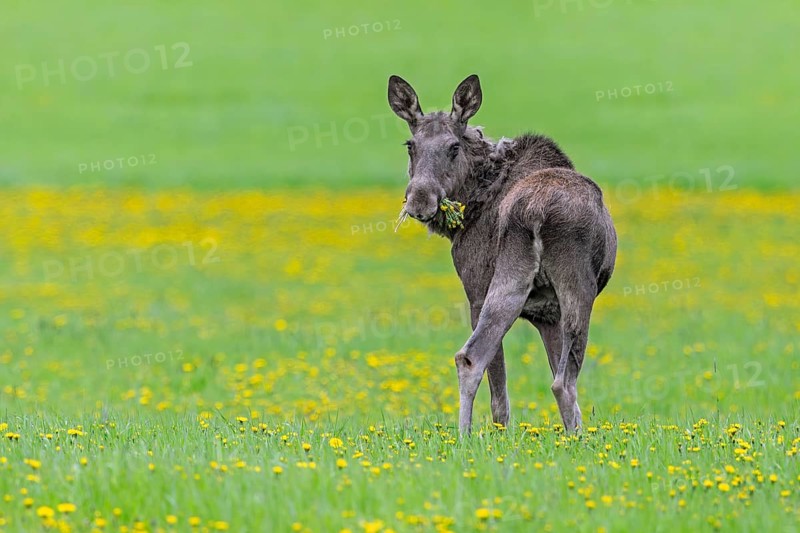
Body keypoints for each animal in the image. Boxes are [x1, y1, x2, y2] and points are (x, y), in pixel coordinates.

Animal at [387, 74, 617, 434]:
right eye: (411, 146)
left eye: (454, 147)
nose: (420, 200)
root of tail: (535, 210)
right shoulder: (480, 291)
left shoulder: (544, 313)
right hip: (571, 281)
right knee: (561, 381)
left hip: (512, 282)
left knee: (469, 357)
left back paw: (465, 436)